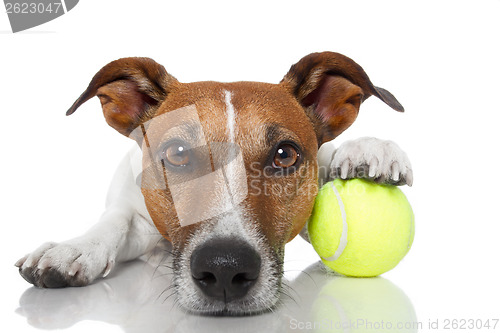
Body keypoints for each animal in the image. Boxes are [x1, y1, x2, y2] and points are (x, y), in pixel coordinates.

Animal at [16, 51, 414, 314]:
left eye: (285, 155)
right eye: (177, 152)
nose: (225, 268)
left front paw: (365, 149)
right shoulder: (136, 214)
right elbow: (116, 221)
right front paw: (74, 248)